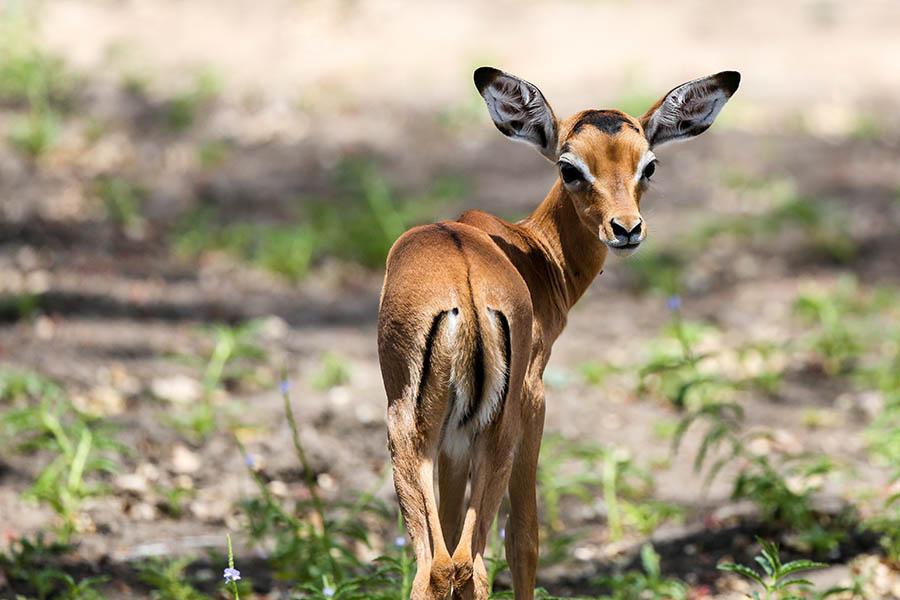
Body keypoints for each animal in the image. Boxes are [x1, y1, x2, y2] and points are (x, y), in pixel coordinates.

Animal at [378, 67, 740, 599]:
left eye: (648, 165)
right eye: (570, 168)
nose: (625, 229)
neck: (532, 251)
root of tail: (464, 285)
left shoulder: (453, 440)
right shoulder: (534, 400)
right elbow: (524, 538)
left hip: (419, 436)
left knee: (440, 567)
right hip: (499, 428)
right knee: (475, 559)